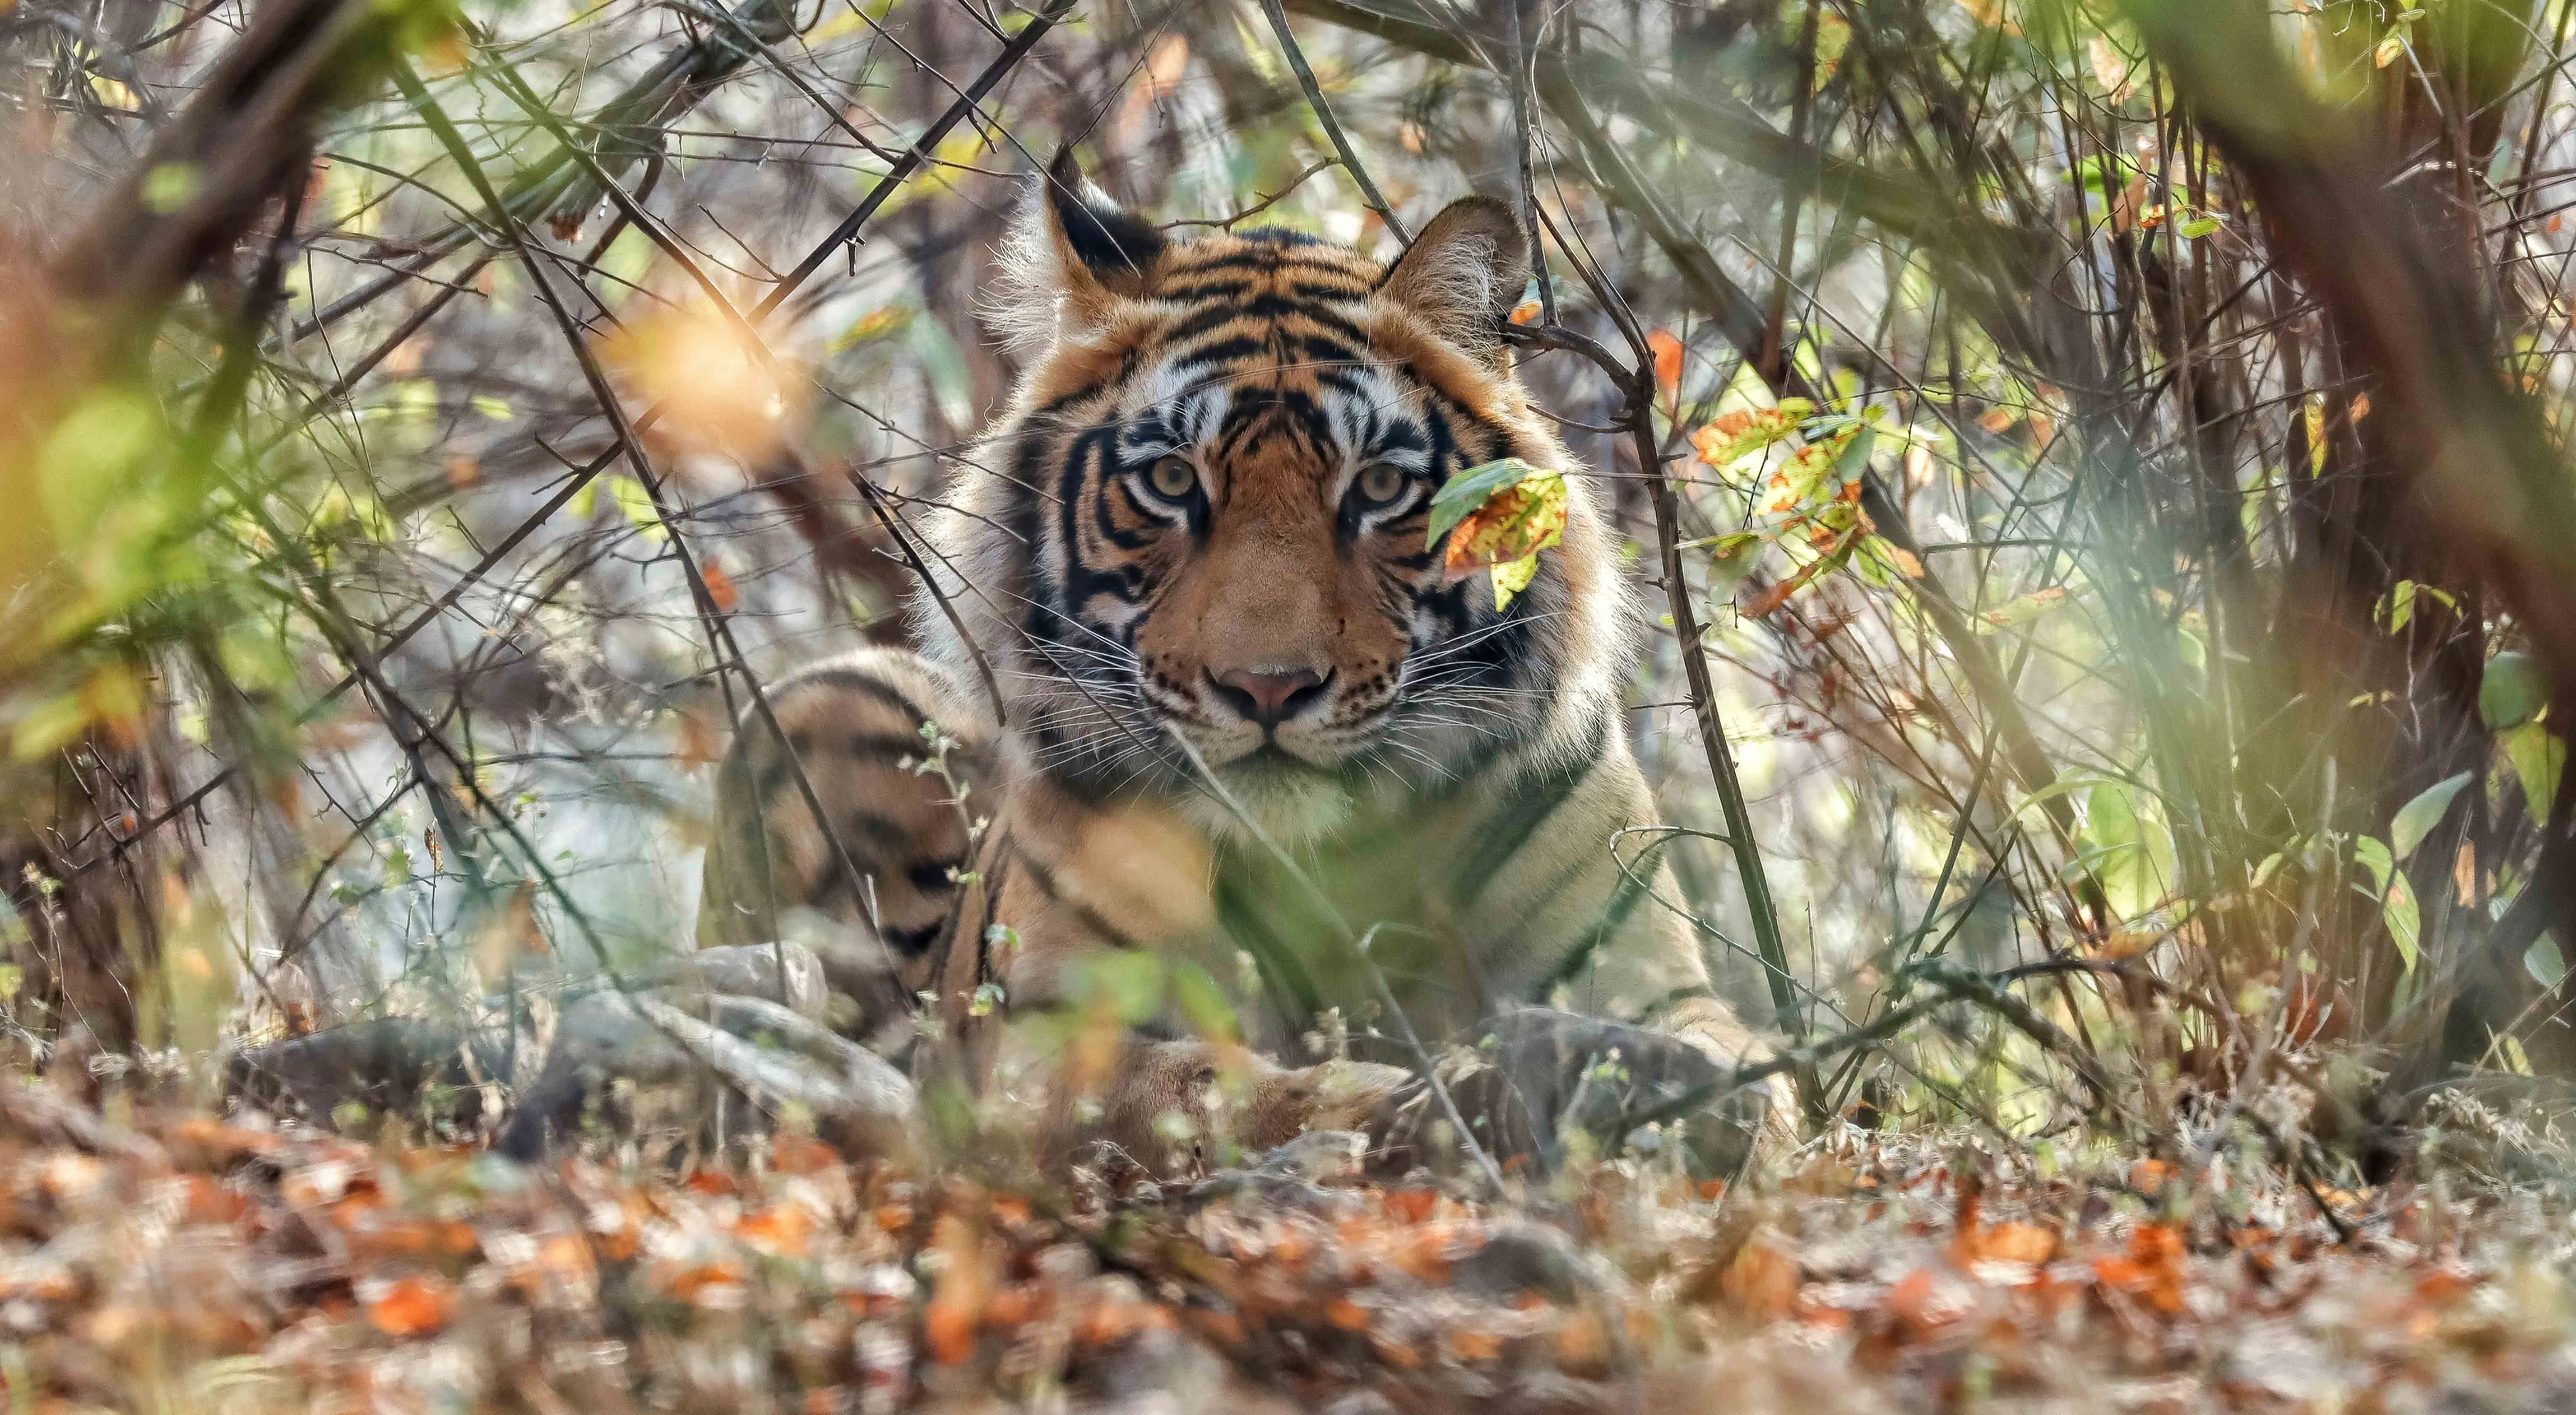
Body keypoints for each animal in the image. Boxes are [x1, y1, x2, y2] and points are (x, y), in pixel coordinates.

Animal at [698, 151, 1779, 1176]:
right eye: (1172, 481)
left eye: (1377, 488)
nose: (1268, 687)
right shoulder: (1047, 1035)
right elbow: (1215, 1088)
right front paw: (1417, 1100)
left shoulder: (1646, 976)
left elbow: (1741, 1066)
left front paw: (1667, 1091)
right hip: (827, 696)